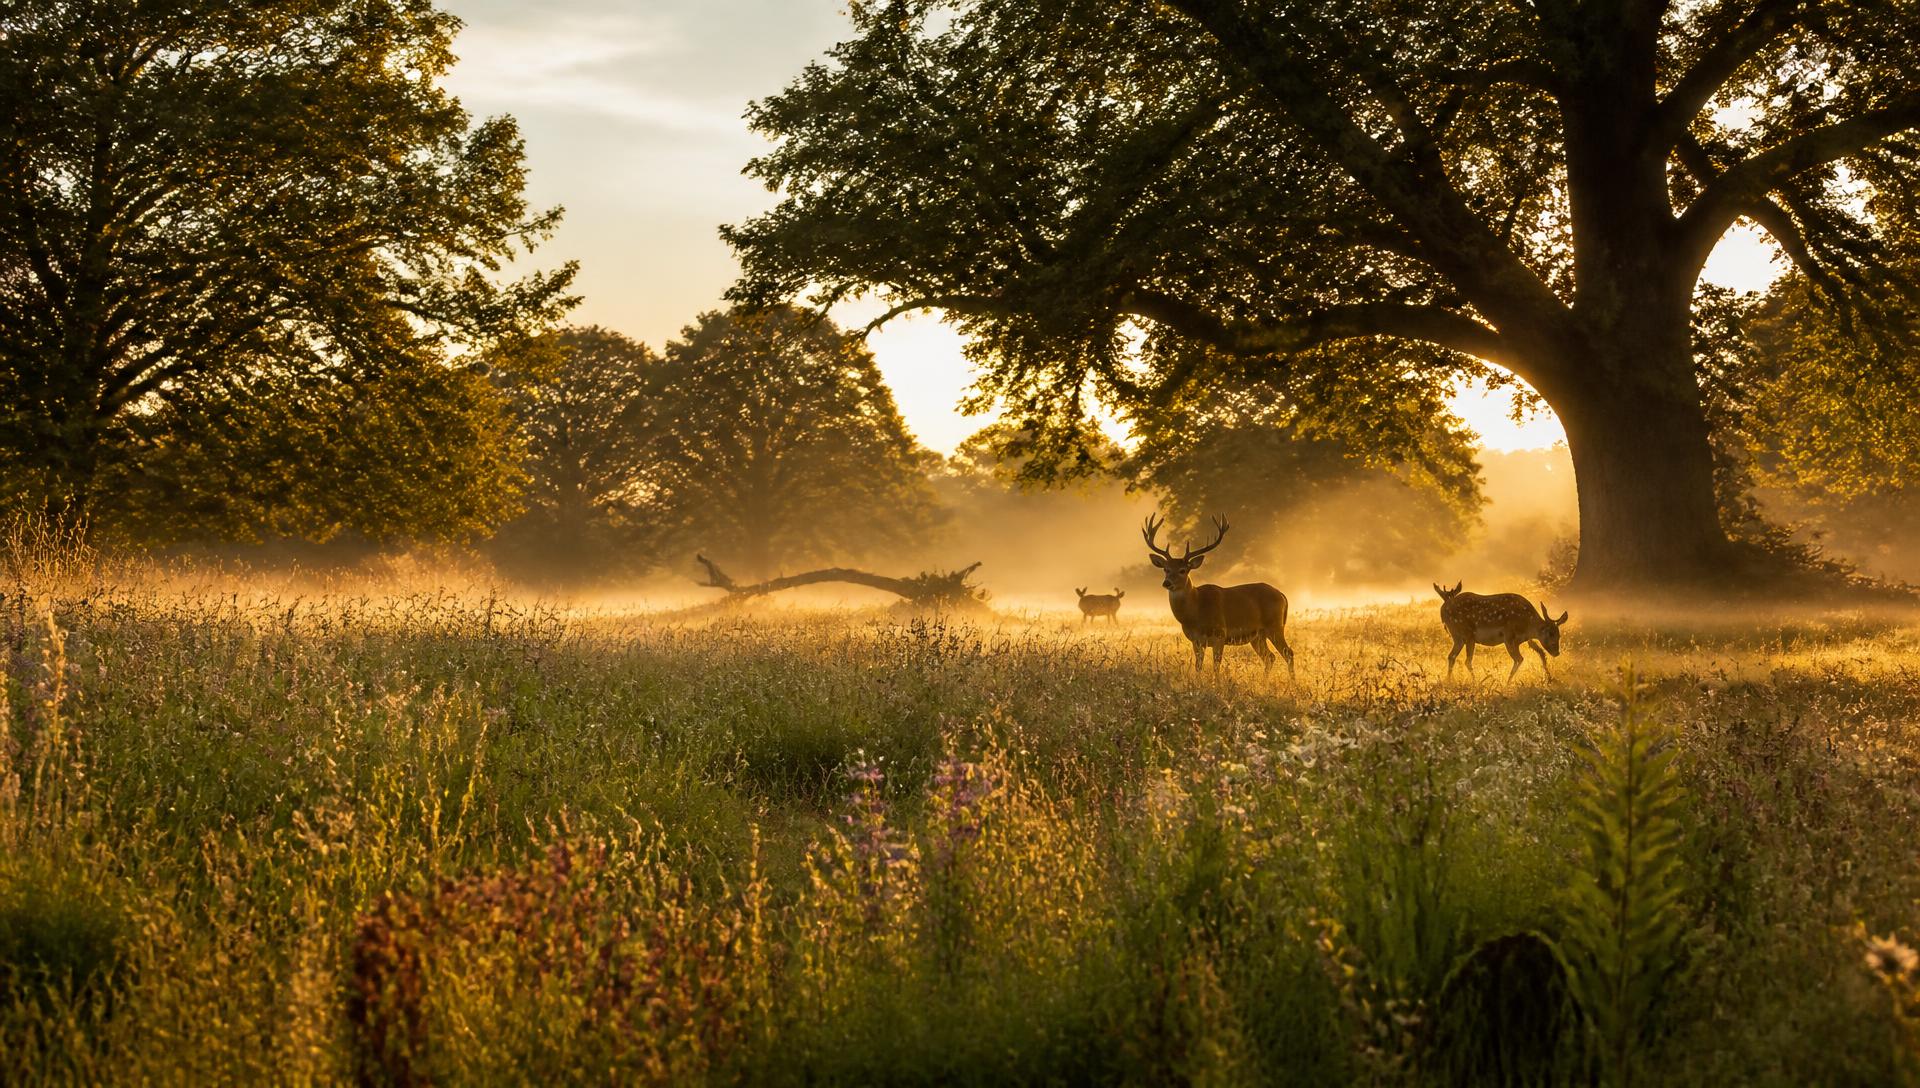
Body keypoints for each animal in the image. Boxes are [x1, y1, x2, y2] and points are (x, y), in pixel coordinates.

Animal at [1142, 513, 1294, 679]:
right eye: (1166, 569)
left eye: (1183, 570)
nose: (1167, 583)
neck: (1196, 612)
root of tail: (1281, 595)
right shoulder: (1195, 640)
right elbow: (1198, 667)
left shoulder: (1220, 634)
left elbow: (1216, 667)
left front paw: (1216, 683)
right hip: (1257, 635)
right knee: (1270, 657)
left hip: (1275, 625)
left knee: (1288, 653)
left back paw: (1292, 683)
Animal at [1435, 582, 1570, 680]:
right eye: (1550, 633)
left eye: (1559, 635)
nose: (1557, 652)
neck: (1527, 625)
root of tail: (1443, 610)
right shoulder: (1508, 636)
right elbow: (1519, 659)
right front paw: (1507, 683)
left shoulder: (1525, 640)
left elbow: (1541, 653)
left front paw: (1549, 679)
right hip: (1466, 634)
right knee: (1467, 661)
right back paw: (1476, 682)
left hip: (1459, 637)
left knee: (1451, 656)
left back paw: (1449, 681)